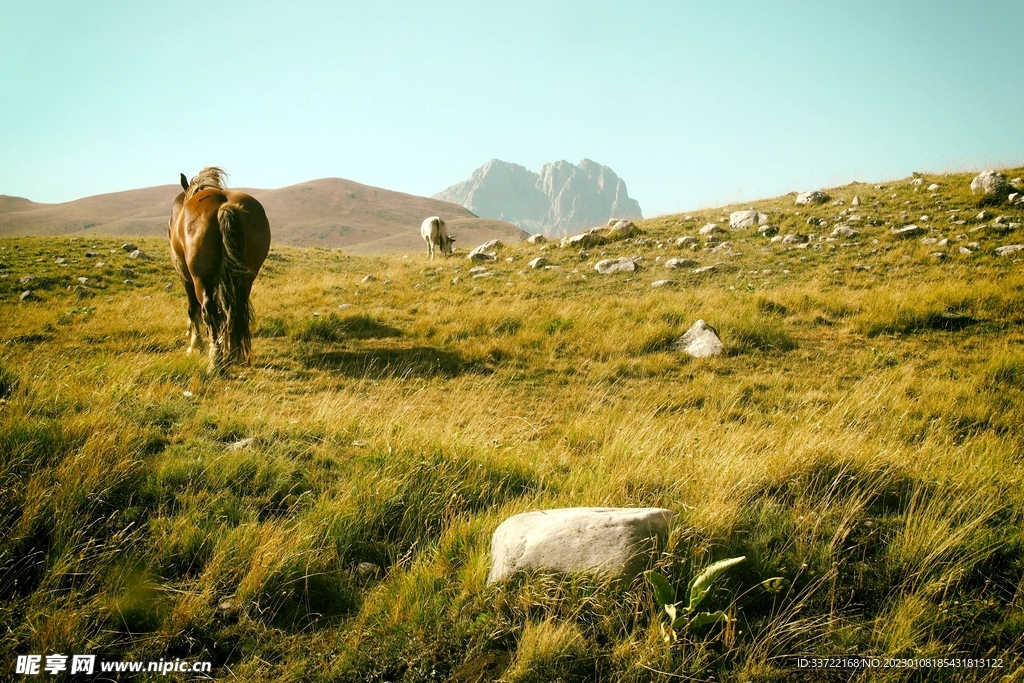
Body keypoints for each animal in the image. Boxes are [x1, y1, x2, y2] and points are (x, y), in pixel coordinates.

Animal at [168, 167, 271, 371]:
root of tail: (224, 206)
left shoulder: (186, 278)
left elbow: (193, 310)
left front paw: (195, 345)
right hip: (245, 279)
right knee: (233, 310)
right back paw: (233, 354)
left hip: (200, 280)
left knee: (208, 311)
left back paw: (215, 361)